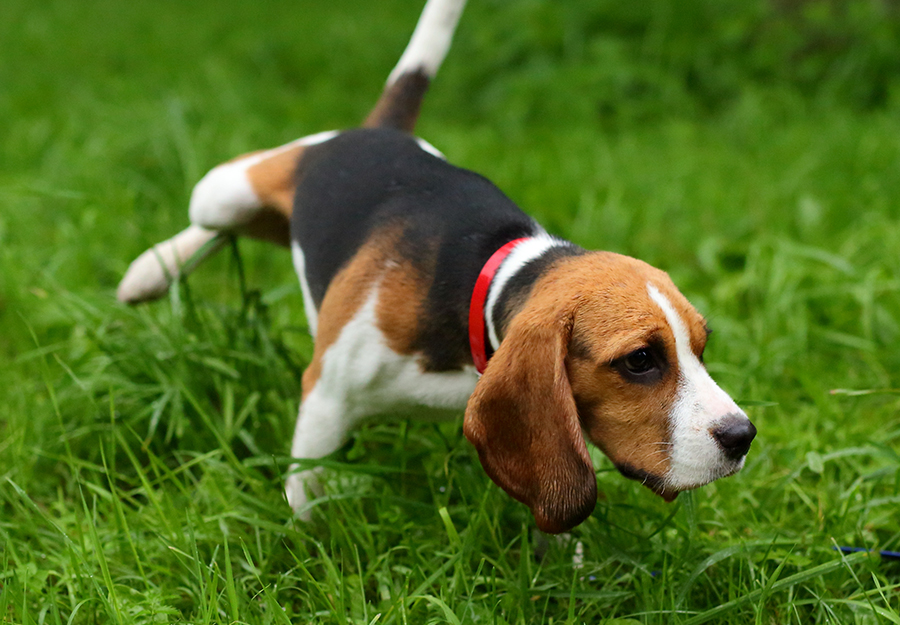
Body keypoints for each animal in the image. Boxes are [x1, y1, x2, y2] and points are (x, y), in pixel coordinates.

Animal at [118, 0, 752, 532]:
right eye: (640, 360)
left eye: (702, 346)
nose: (743, 435)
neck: (484, 279)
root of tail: (377, 131)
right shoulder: (325, 398)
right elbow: (306, 494)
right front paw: (309, 550)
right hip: (226, 187)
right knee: (212, 220)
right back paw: (150, 269)